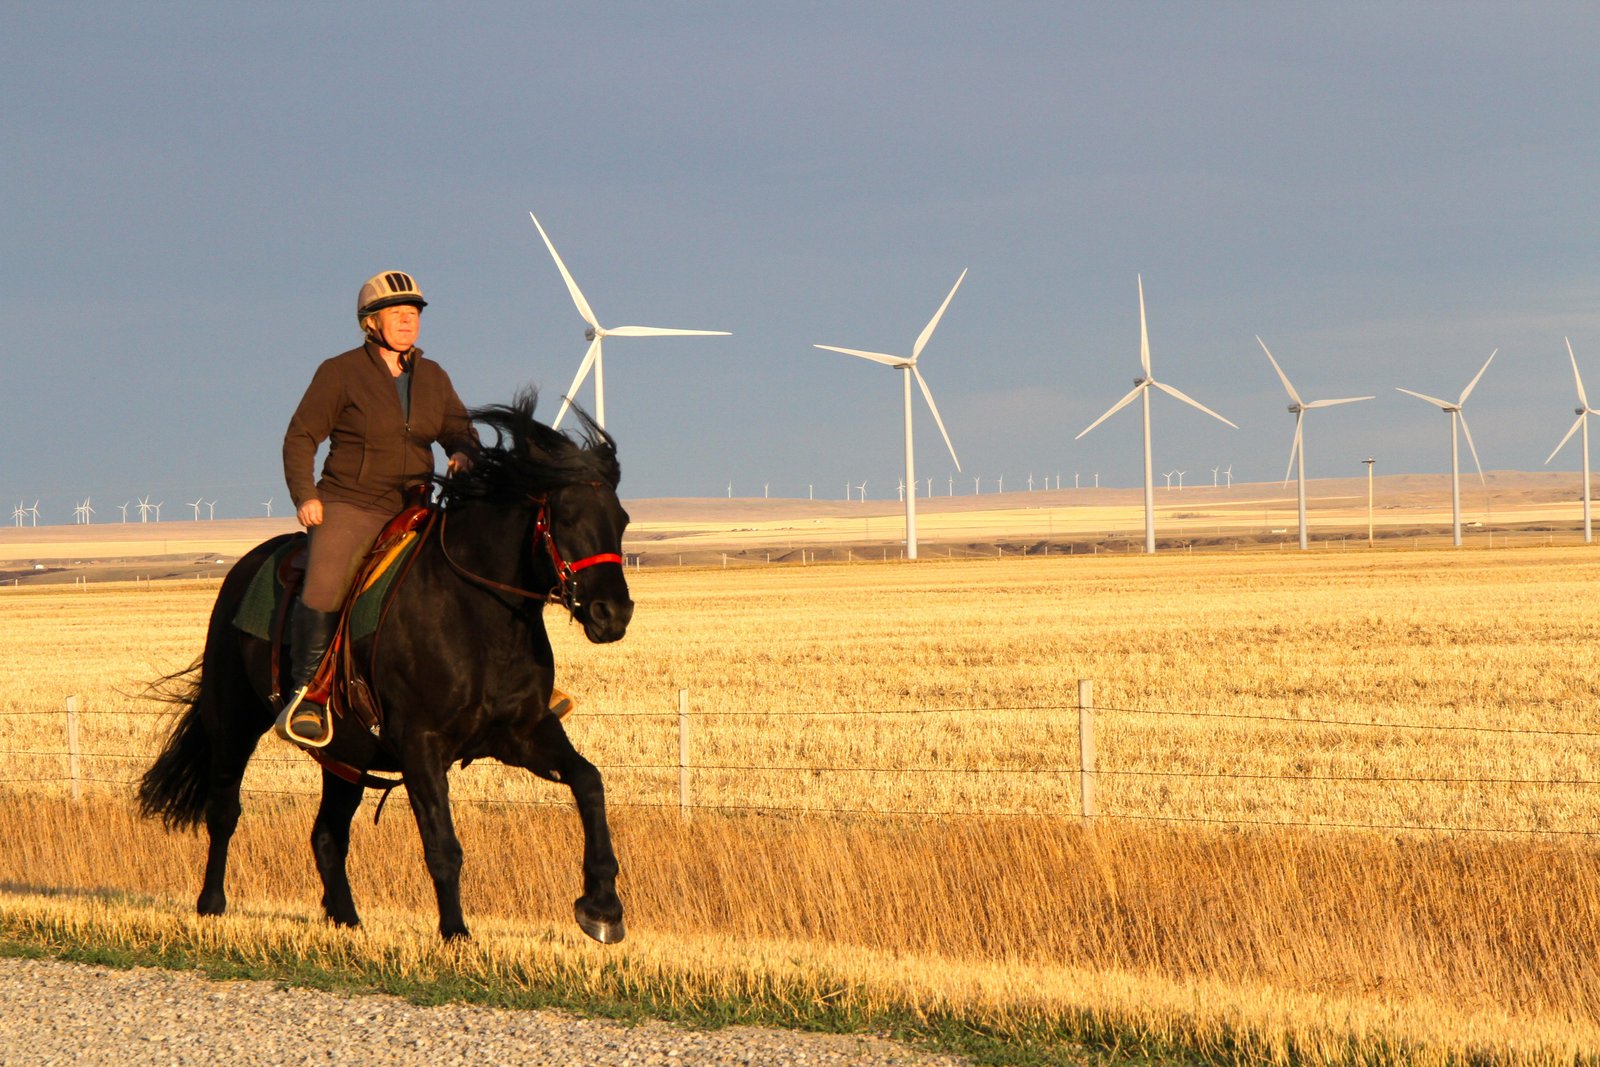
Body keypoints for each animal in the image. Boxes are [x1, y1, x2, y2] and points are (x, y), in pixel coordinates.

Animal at [137, 391, 633, 940]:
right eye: (566, 517)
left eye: (623, 520)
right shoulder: (420, 746)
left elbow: (589, 782)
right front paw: (455, 933)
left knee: (327, 834)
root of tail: (244, 567)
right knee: (224, 810)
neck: (479, 616)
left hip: (345, 756)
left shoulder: (523, 734)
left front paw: (602, 904)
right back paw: (211, 904)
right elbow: (443, 845)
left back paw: (346, 919)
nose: (613, 613)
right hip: (233, 723)